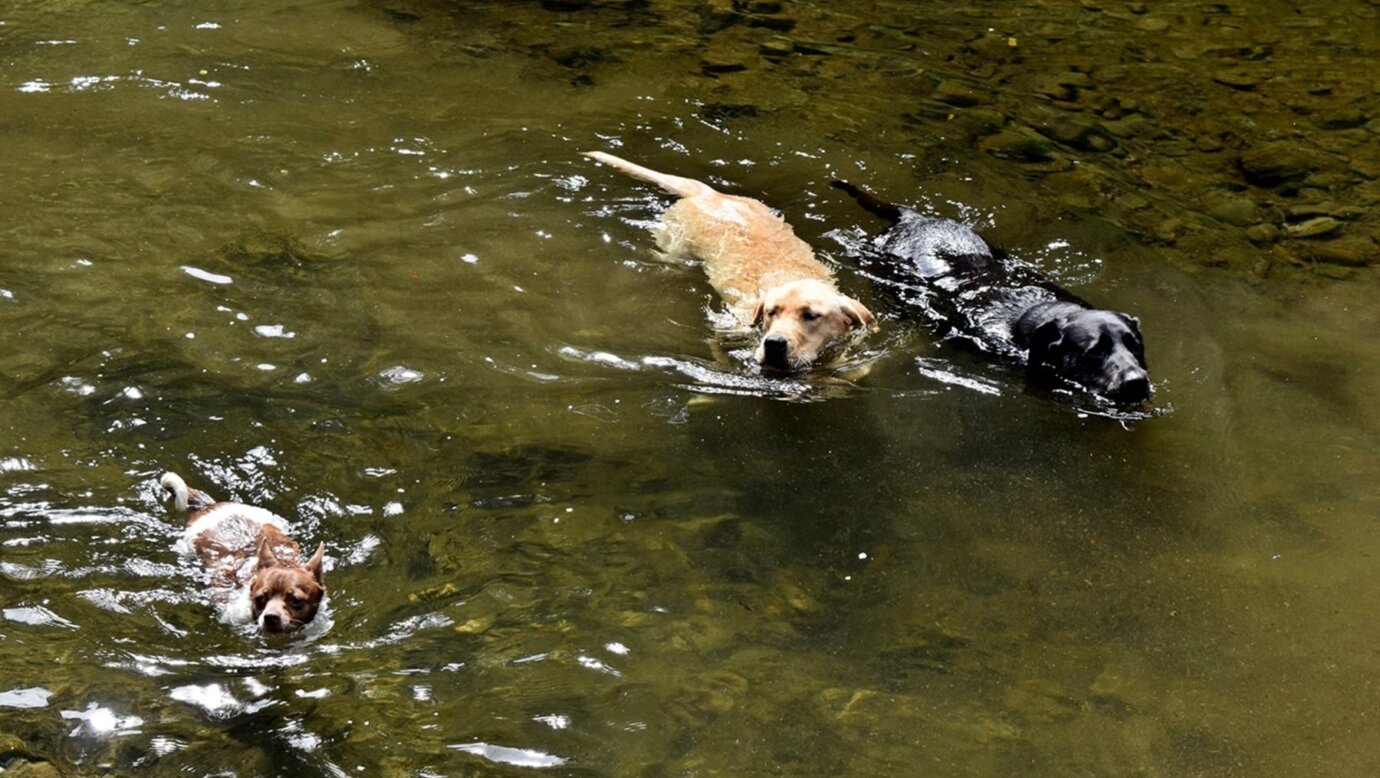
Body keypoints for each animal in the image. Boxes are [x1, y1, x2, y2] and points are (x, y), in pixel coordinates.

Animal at [582, 151, 872, 372]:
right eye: (771, 312)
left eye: (811, 315)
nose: (773, 344)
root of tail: (709, 194)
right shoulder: (727, 329)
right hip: (675, 249)